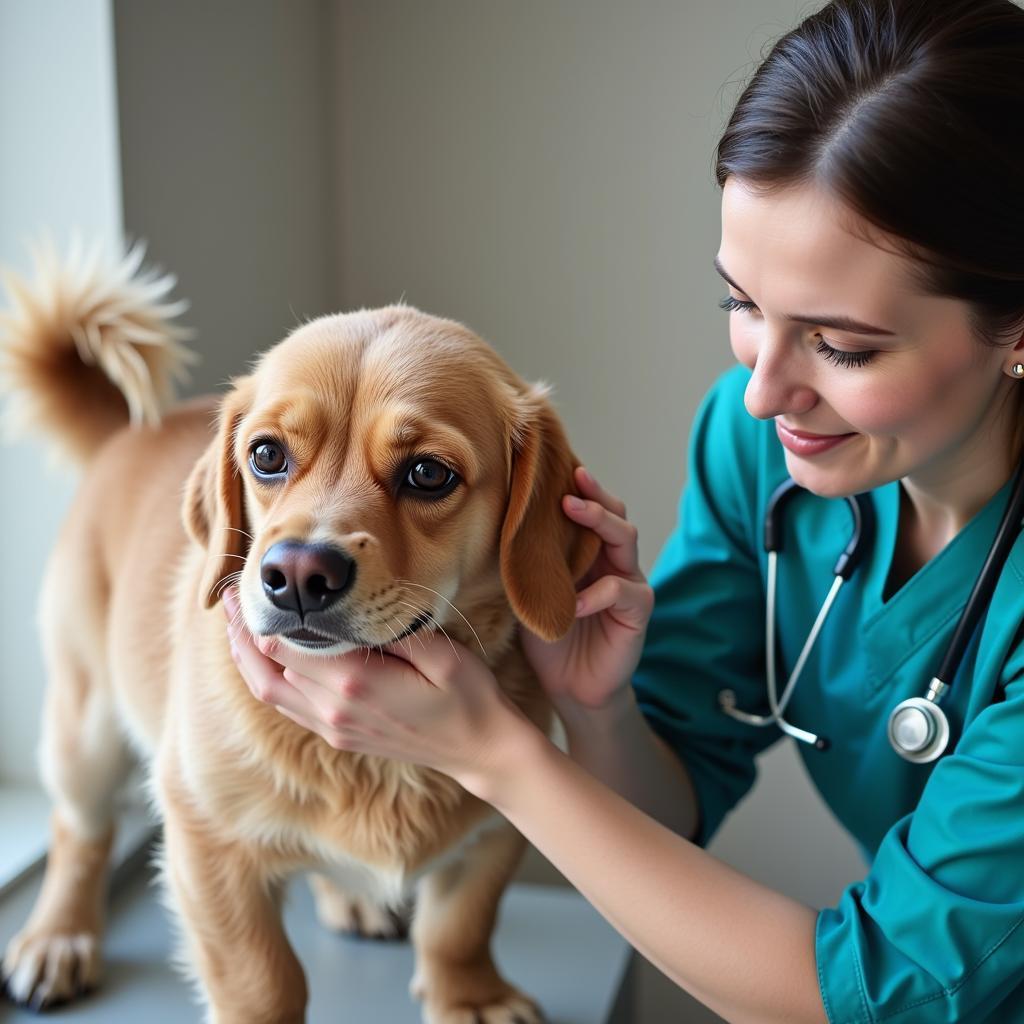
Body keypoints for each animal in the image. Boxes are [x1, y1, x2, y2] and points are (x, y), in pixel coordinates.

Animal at [0, 247, 598, 1024]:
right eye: (266, 456)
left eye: (428, 473)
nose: (298, 574)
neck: (369, 763)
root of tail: (129, 433)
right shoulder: (206, 841)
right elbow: (263, 979)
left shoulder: (497, 828)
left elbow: (460, 926)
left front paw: (472, 996)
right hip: (85, 726)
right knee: (79, 831)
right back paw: (58, 938)